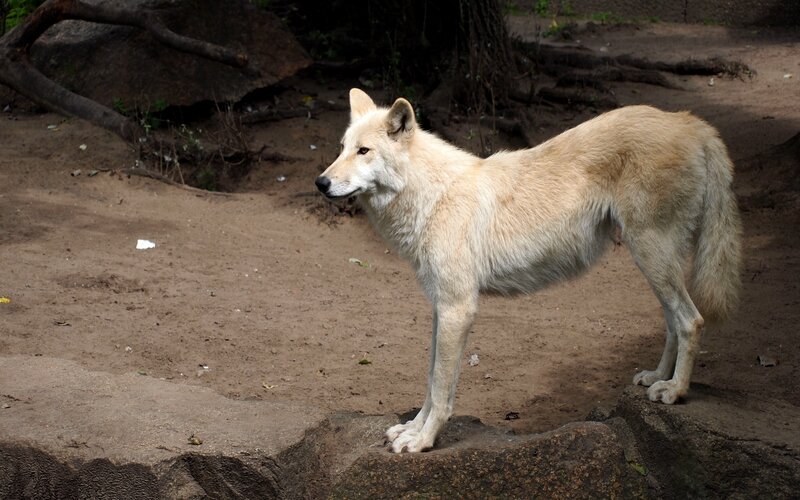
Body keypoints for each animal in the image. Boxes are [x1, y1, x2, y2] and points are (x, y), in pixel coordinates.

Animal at [315, 88, 742, 453]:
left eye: (364, 151)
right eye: (341, 149)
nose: (321, 182)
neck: (432, 195)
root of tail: (690, 122)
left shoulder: (458, 308)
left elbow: (440, 388)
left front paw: (423, 441)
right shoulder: (441, 308)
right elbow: (431, 381)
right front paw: (412, 429)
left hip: (651, 253)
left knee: (691, 320)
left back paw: (675, 391)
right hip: (653, 262)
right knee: (672, 322)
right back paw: (657, 378)